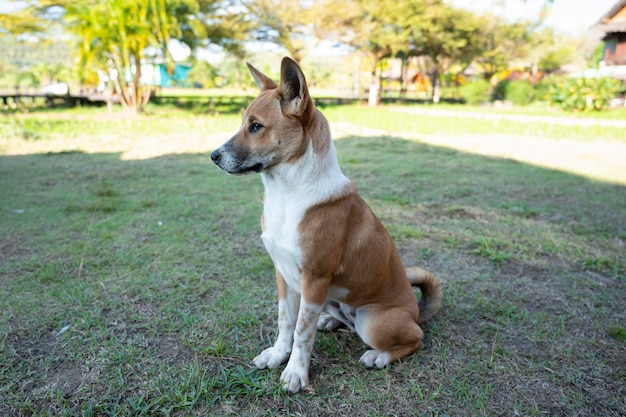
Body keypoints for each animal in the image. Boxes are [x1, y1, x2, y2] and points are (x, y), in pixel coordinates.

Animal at [210, 57, 438, 392]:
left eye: (256, 126)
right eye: (243, 124)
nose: (213, 156)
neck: (287, 194)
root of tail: (416, 312)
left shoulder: (314, 279)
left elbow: (302, 332)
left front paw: (296, 372)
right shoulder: (283, 274)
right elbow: (286, 321)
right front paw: (278, 354)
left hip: (370, 320)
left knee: (416, 340)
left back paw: (379, 356)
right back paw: (330, 321)